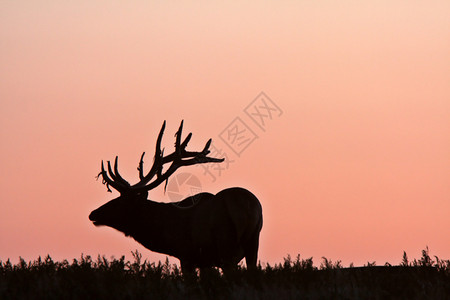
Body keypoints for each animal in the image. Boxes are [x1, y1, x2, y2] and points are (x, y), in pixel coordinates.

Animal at [89, 120, 264, 274]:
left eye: (121, 202)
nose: (93, 213)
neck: (167, 231)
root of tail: (248, 206)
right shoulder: (204, 262)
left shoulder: (186, 255)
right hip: (253, 241)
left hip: (225, 242)